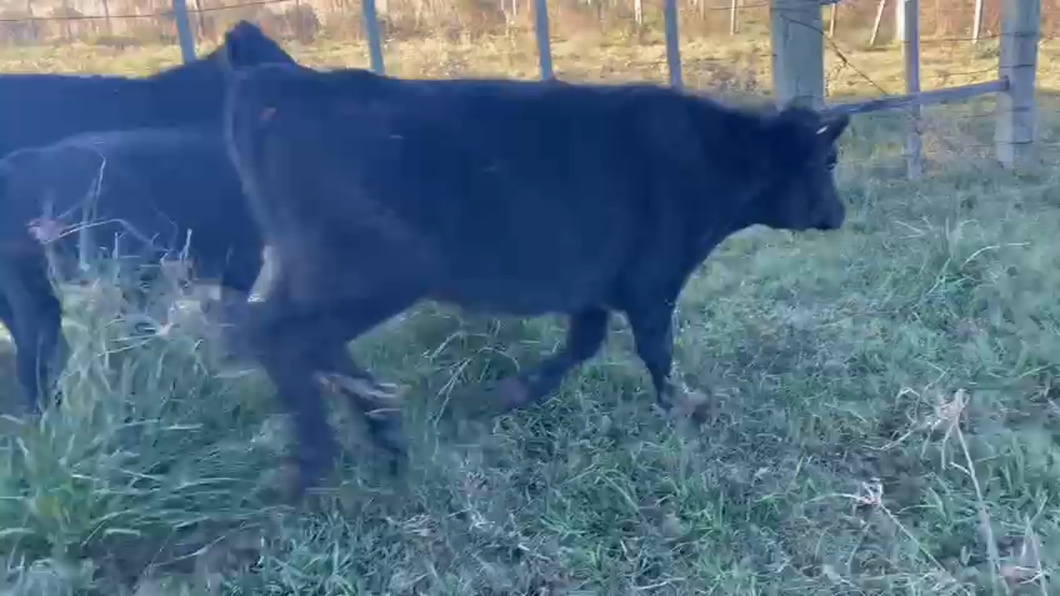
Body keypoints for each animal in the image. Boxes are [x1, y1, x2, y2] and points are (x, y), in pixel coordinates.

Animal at [223, 59, 852, 496]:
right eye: (828, 162)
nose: (840, 212)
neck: (714, 162)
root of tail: (284, 83)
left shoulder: (595, 287)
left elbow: (582, 344)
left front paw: (513, 393)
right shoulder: (653, 279)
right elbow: (657, 350)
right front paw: (685, 408)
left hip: (315, 271)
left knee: (289, 335)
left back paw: (382, 429)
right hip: (376, 268)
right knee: (280, 335)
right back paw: (316, 461)